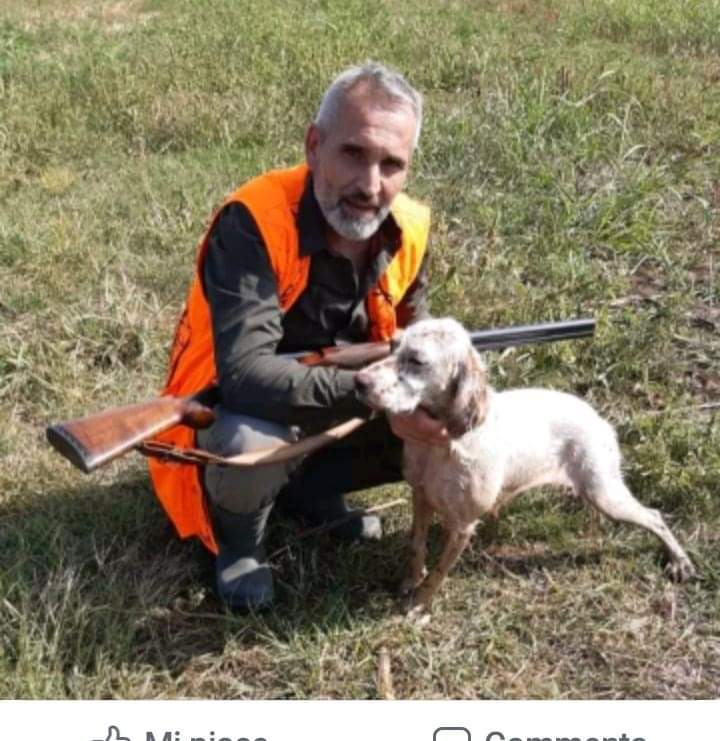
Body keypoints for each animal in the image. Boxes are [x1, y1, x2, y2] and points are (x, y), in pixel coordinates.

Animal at [354, 318, 696, 620]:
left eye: (417, 360)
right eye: (392, 346)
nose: (359, 381)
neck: (442, 445)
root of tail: (600, 419)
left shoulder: (463, 525)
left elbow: (438, 572)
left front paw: (420, 605)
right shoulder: (421, 496)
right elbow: (417, 546)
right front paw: (411, 582)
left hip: (605, 493)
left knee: (654, 516)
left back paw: (679, 561)